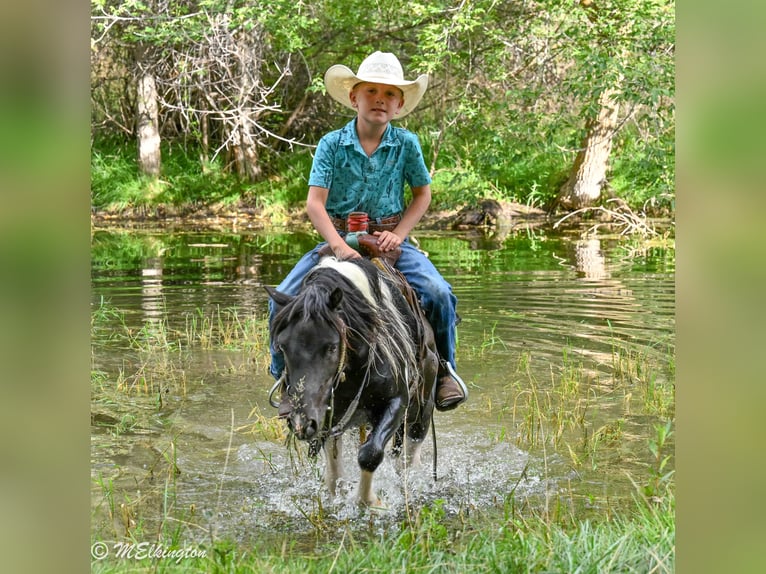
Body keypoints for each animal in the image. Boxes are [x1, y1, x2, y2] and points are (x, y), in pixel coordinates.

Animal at [265, 256, 439, 506]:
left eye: (331, 347)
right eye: (282, 346)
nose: (300, 423)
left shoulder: (397, 401)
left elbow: (370, 454)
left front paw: (370, 502)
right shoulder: (328, 415)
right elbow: (334, 471)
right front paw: (338, 496)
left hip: (422, 410)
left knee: (408, 455)